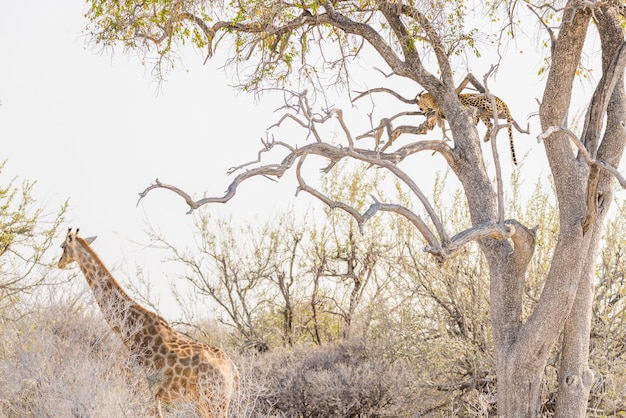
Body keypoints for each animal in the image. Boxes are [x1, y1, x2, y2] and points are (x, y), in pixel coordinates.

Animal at [57, 229, 238, 418]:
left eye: (62, 246)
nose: (59, 263)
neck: (130, 334)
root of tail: (232, 369)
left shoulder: (142, 390)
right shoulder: (152, 394)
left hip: (213, 399)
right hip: (209, 401)